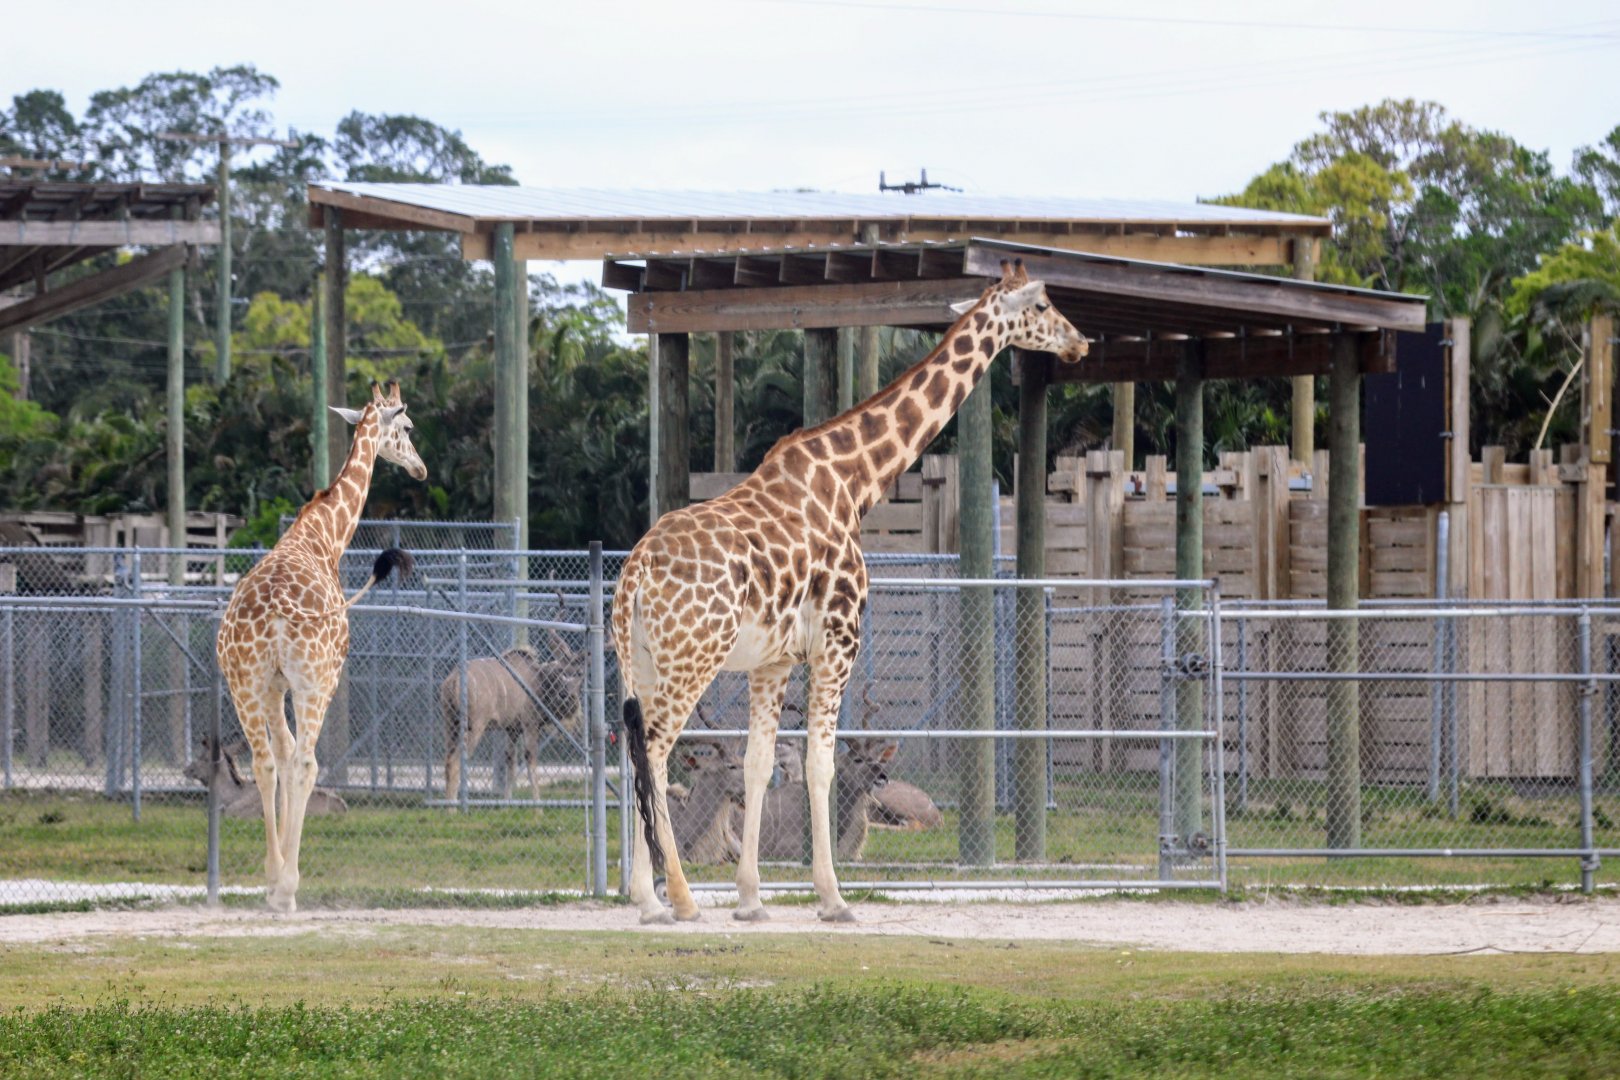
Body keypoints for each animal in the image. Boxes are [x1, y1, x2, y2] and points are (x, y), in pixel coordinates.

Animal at [215, 380, 427, 912]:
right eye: (407, 427)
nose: (420, 468)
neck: (324, 537)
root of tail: (274, 611)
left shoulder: (273, 684)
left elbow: (279, 756)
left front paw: (273, 879)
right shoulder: (319, 678)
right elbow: (301, 761)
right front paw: (287, 882)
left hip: (244, 682)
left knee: (265, 761)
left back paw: (274, 882)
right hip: (316, 682)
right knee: (306, 763)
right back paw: (289, 887)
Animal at [612, 258, 1089, 924]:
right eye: (1043, 304)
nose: (1081, 343)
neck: (855, 479)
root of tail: (635, 570)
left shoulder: (774, 660)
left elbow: (761, 765)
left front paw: (752, 899)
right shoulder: (838, 642)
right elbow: (820, 763)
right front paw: (833, 897)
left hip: (640, 660)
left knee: (630, 749)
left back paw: (647, 898)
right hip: (692, 658)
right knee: (655, 751)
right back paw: (675, 898)